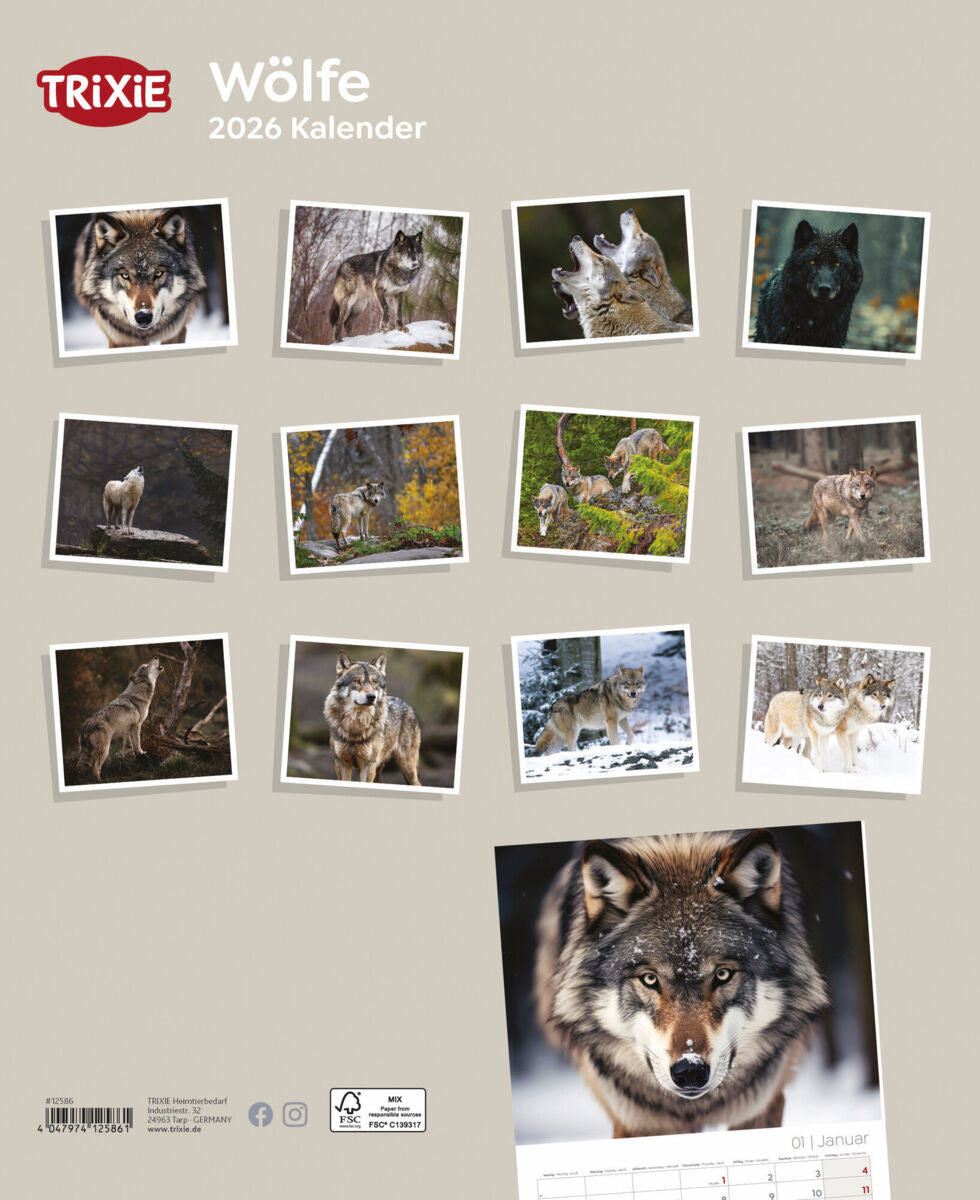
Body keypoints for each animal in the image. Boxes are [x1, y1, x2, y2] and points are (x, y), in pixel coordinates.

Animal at [323, 652, 421, 785]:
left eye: (374, 682)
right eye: (357, 681)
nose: (371, 697)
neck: (356, 725)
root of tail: (406, 704)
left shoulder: (368, 764)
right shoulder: (342, 763)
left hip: (407, 768)